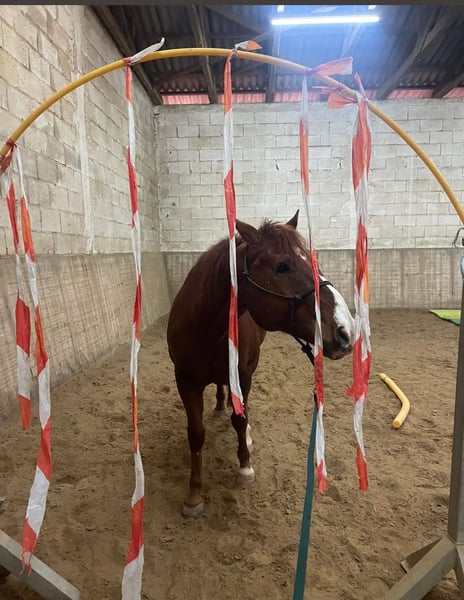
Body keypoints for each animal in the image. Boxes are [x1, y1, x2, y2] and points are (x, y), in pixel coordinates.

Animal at [167, 211, 354, 518]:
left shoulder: (242, 374)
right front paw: (193, 495)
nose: (346, 330)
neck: (205, 328)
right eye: (282, 266)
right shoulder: (185, 380)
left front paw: (245, 466)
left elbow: (240, 420)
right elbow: (196, 434)